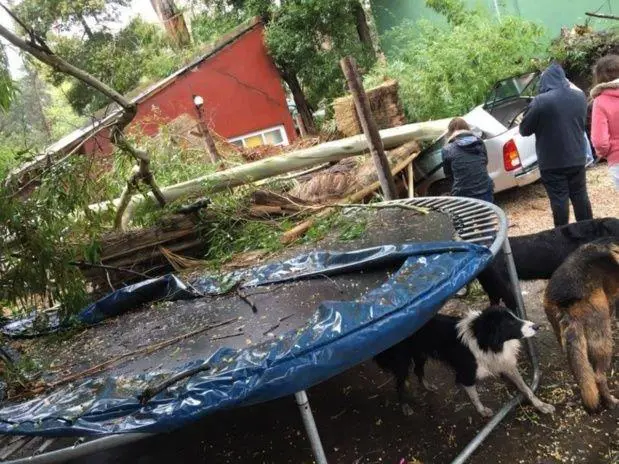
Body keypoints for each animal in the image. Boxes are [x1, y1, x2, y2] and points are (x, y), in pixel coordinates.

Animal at [372, 306, 556, 418]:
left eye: (515, 316)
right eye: (510, 323)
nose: (537, 326)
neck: (485, 340)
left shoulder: (505, 364)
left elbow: (526, 388)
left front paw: (541, 405)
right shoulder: (466, 375)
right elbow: (475, 396)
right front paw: (482, 411)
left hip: (420, 354)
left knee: (418, 370)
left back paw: (427, 386)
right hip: (403, 362)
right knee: (400, 384)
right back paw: (405, 406)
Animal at [544, 237, 616, 412]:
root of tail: (567, 304)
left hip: (564, 339)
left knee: (583, 375)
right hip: (602, 338)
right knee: (598, 377)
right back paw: (611, 402)